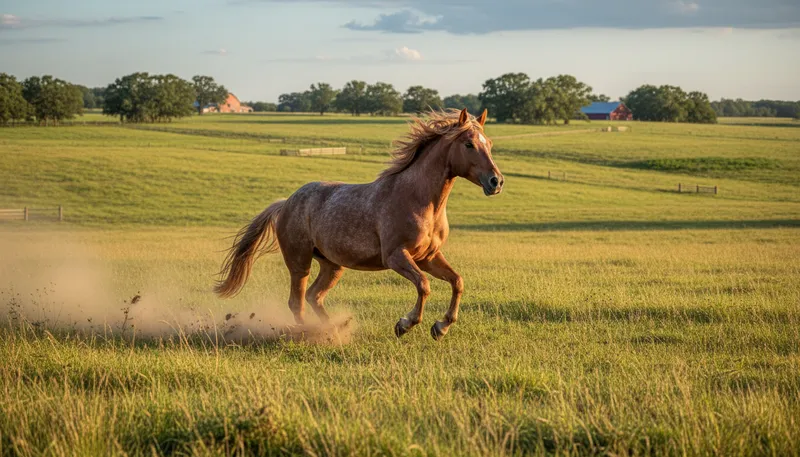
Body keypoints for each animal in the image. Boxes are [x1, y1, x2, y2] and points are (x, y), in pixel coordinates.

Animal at [214, 108, 504, 340]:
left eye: (488, 143)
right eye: (468, 144)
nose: (496, 181)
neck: (420, 201)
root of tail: (286, 203)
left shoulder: (428, 256)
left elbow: (457, 281)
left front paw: (440, 327)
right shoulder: (396, 256)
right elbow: (423, 285)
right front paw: (405, 324)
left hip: (332, 265)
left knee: (314, 296)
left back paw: (334, 328)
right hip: (299, 262)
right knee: (297, 302)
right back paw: (311, 333)